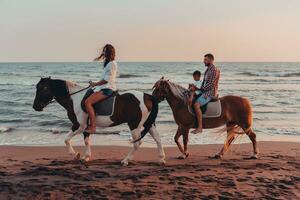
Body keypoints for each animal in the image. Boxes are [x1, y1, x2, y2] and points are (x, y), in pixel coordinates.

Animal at [32, 77, 166, 166]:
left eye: (42, 88)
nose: (35, 106)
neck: (74, 98)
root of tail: (147, 96)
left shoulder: (79, 125)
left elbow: (66, 139)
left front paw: (76, 155)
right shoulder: (86, 127)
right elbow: (87, 141)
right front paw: (86, 157)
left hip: (134, 125)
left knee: (138, 143)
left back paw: (125, 160)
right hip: (149, 124)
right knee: (158, 139)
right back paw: (161, 159)